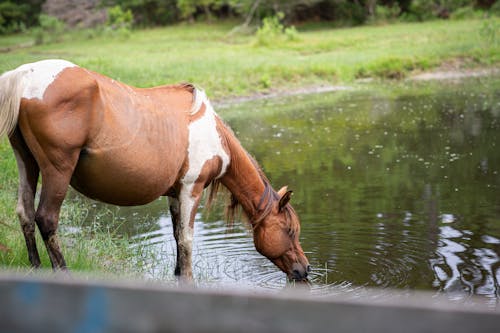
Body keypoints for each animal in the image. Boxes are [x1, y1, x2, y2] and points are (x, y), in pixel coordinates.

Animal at [0, 59, 310, 280]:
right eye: (290, 230)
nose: (305, 269)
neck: (215, 136)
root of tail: (24, 74)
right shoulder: (191, 190)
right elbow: (187, 239)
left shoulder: (175, 194)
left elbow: (176, 235)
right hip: (57, 170)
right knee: (46, 219)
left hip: (27, 163)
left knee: (25, 214)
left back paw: (36, 268)